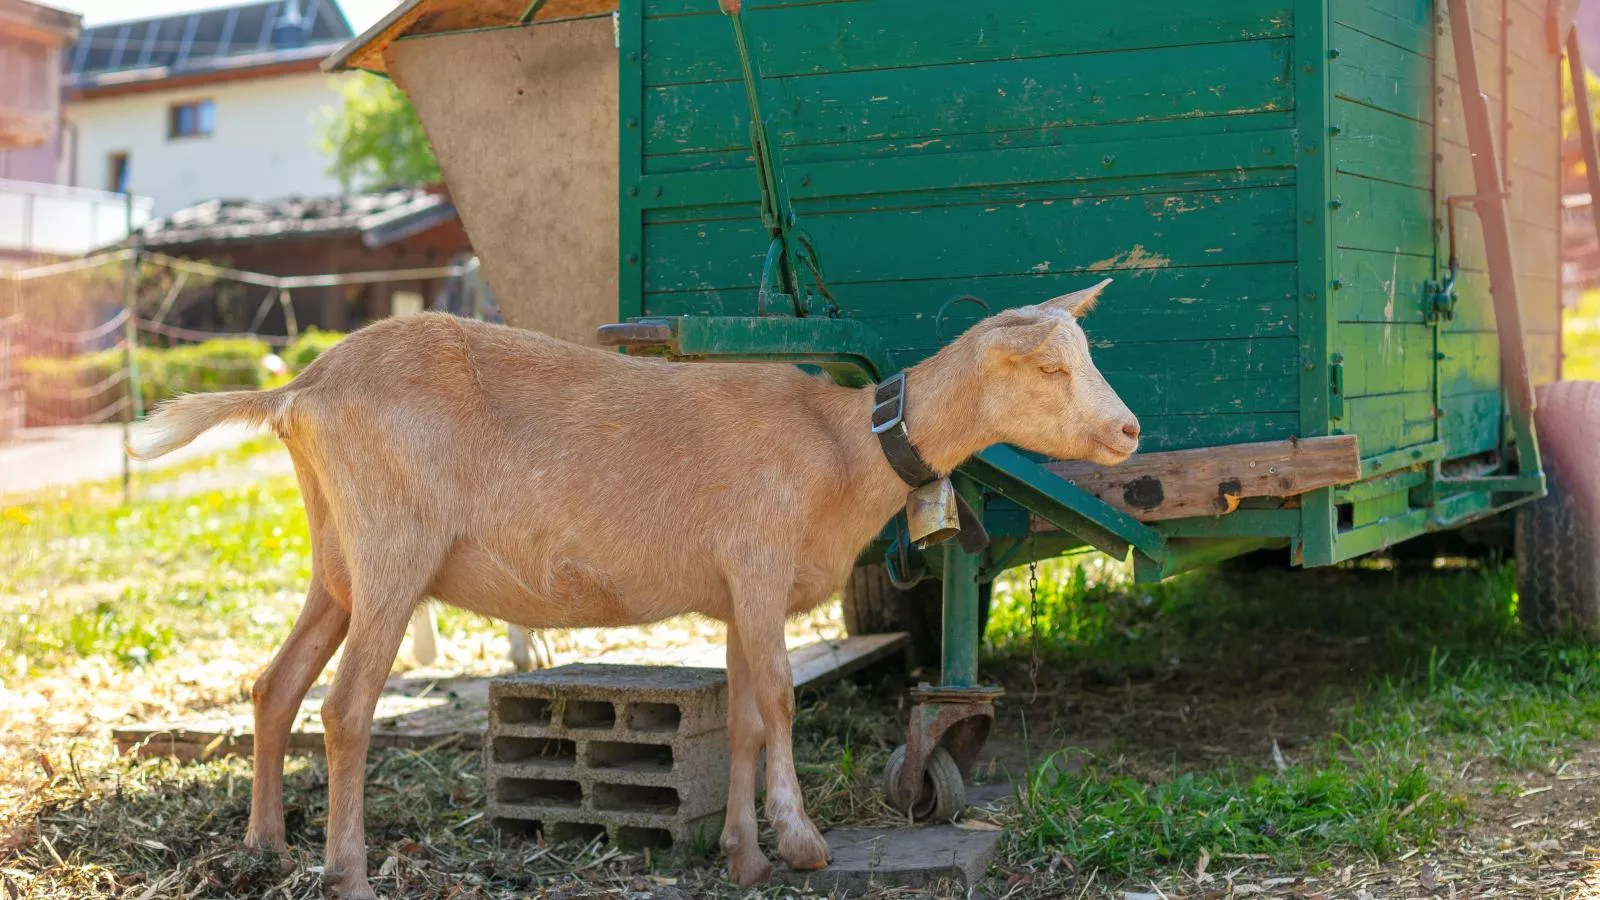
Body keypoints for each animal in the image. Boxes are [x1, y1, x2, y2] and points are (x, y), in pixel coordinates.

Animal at [131, 277, 1145, 890]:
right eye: (1050, 367)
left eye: (1088, 357)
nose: (1129, 431)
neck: (841, 445)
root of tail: (297, 392)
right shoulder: (759, 557)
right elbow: (781, 701)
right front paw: (802, 842)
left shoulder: (737, 592)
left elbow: (743, 714)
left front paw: (743, 854)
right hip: (393, 550)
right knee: (345, 708)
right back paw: (346, 871)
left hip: (337, 557)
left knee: (276, 685)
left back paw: (265, 845)